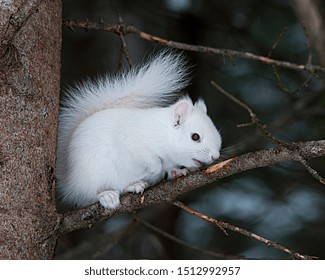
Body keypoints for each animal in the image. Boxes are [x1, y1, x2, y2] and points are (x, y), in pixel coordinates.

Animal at [57, 50, 221, 209]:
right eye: (195, 137)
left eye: (218, 135)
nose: (215, 157)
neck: (162, 133)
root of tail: (68, 181)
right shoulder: (133, 143)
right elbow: (149, 158)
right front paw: (155, 169)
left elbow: (169, 167)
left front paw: (177, 171)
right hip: (94, 174)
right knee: (90, 195)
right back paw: (107, 195)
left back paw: (135, 185)